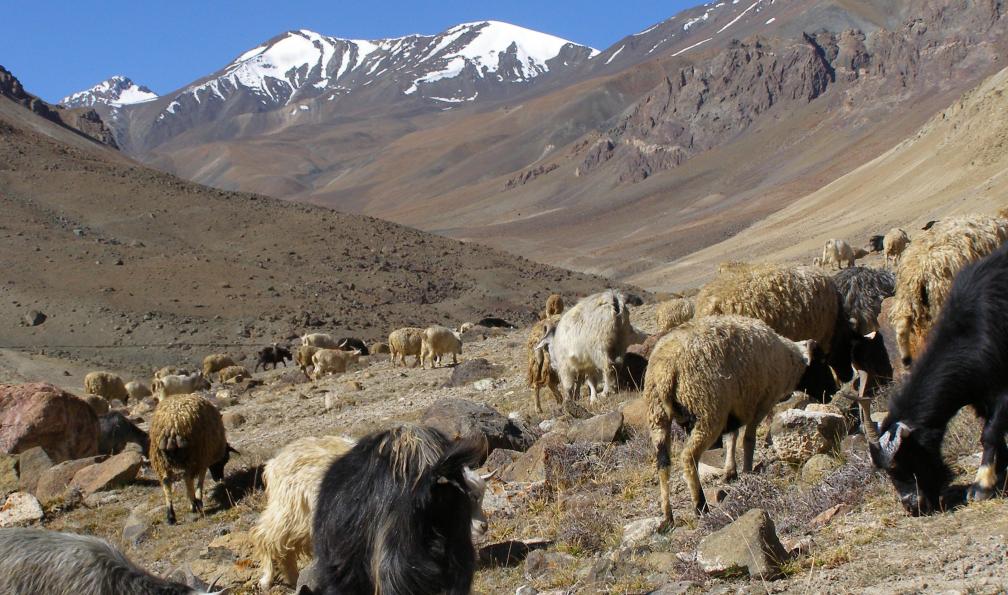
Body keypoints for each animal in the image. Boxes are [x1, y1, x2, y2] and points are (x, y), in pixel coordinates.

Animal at [148, 393, 235, 524]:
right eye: (225, 460)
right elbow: (201, 479)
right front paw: (198, 500)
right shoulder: (203, 458)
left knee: (166, 481)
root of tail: (172, 426)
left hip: (160, 459)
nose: (219, 478)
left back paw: (171, 516)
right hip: (192, 454)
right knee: (187, 477)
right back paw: (193, 504)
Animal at [253, 435, 356, 590]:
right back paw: (267, 579)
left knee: (285, 550)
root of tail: (273, 463)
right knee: (265, 538)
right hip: (290, 514)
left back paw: (294, 580)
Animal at [646, 315, 814, 521]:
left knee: (662, 463)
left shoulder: (734, 408)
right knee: (688, 457)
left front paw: (730, 471)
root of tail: (666, 371)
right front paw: (748, 470)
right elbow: (748, 439)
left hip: (657, 415)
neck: (787, 359)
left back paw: (667, 515)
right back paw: (700, 506)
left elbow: (731, 438)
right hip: (707, 409)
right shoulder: (761, 403)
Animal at [867, 242, 1008, 515]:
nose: (913, 507)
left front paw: (981, 486)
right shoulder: (980, 394)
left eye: (898, 464)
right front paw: (1003, 471)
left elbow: (990, 432)